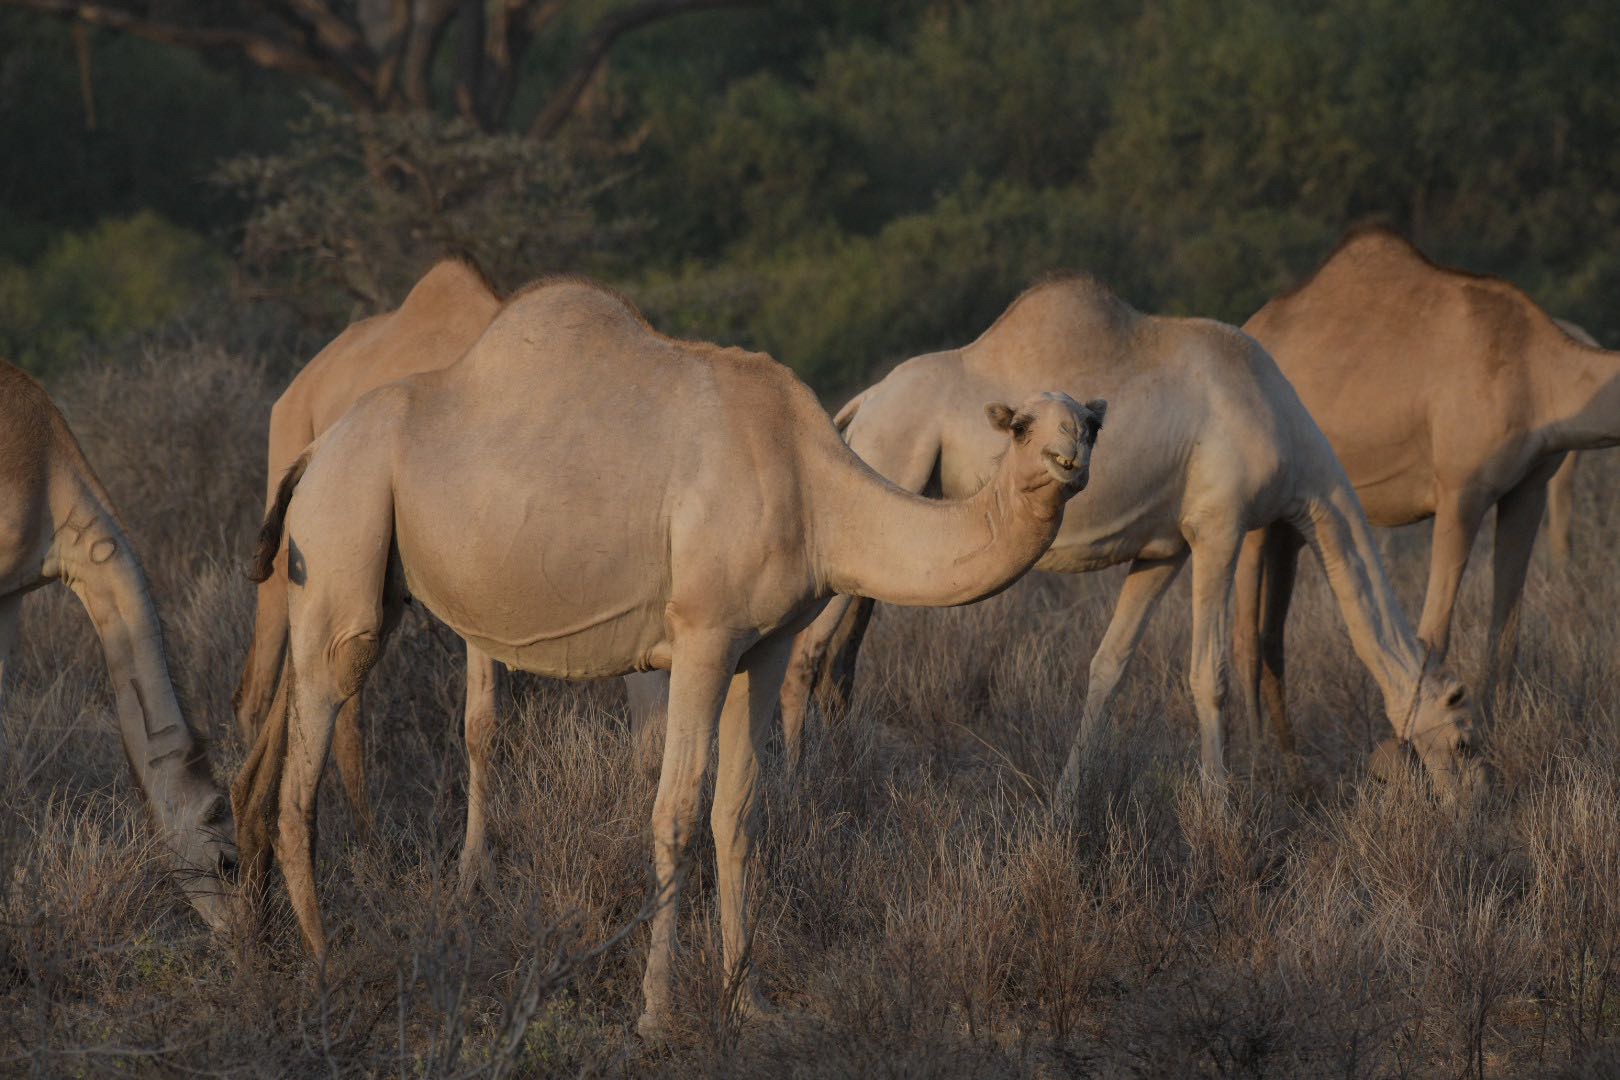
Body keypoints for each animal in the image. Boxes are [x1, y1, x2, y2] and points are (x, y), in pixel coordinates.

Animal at [231, 281, 1114, 1036]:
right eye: (1024, 426)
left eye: (1089, 422)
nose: (1070, 460)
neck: (819, 494)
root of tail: (313, 452)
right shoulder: (702, 637)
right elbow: (677, 808)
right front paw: (657, 1011)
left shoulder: (765, 645)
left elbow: (740, 812)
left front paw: (748, 999)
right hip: (346, 534)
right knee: (308, 759)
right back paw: (325, 963)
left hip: (357, 578)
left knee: (273, 743)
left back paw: (260, 931)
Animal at [777, 278, 1483, 803]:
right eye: (1465, 738)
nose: (1470, 807)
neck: (1291, 443)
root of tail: (864, 404)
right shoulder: (1219, 524)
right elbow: (1209, 673)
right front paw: (1220, 813)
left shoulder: (1163, 550)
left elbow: (1107, 668)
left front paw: (1064, 804)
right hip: (893, 453)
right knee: (808, 649)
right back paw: (799, 789)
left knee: (843, 656)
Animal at [1237, 226, 1620, 744]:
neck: (1540, 377)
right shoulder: (1461, 491)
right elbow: (1433, 631)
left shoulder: (1529, 488)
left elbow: (1506, 629)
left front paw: (1495, 739)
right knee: (1244, 635)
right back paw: (1255, 757)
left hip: (1292, 522)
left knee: (1271, 632)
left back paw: (1290, 760)